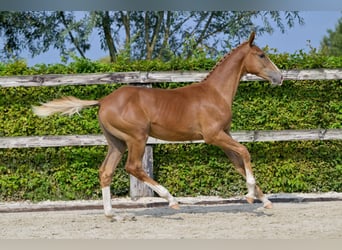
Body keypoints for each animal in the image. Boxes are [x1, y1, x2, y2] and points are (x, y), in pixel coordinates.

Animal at [32, 30, 284, 219]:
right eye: (261, 55)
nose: (280, 77)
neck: (215, 93)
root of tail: (103, 101)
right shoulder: (213, 136)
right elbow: (245, 151)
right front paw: (251, 195)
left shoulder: (223, 136)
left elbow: (239, 162)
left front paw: (264, 199)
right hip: (137, 137)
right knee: (133, 167)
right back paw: (171, 199)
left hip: (116, 142)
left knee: (106, 171)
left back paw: (112, 214)